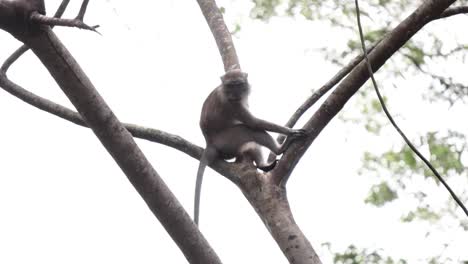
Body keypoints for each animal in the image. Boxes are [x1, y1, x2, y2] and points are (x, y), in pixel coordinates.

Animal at [195, 69, 308, 226]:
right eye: (231, 85)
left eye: (238, 84)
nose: (235, 93)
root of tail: (209, 144)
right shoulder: (232, 104)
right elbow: (254, 123)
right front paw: (289, 131)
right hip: (227, 140)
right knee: (250, 130)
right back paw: (279, 149)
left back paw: (262, 165)